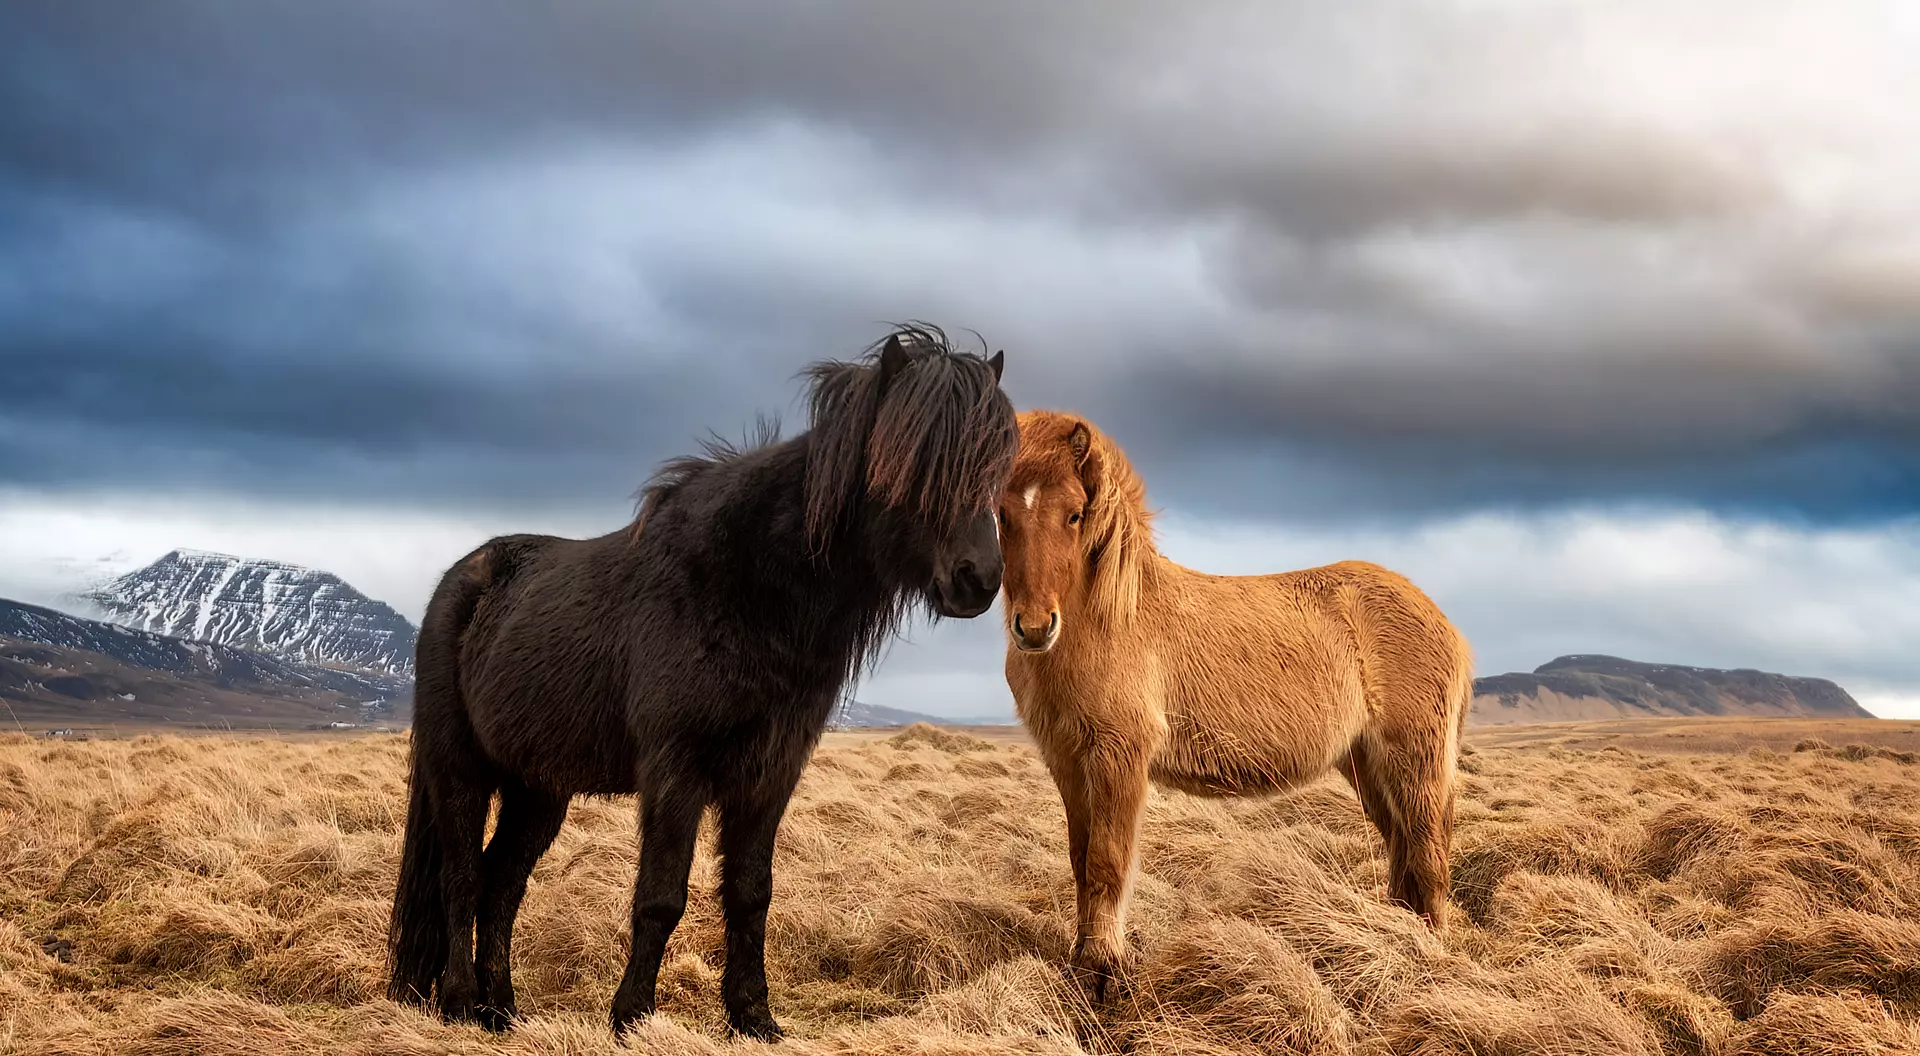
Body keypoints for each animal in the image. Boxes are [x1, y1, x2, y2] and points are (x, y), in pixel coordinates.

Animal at [386, 328, 1017, 1040]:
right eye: (912, 460)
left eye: (995, 466)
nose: (978, 580)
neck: (746, 589)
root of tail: (459, 581)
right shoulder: (676, 766)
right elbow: (661, 896)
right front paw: (632, 1016)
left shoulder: (770, 772)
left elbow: (750, 894)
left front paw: (754, 1016)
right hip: (460, 770)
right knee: (462, 878)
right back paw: (460, 1002)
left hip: (537, 787)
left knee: (501, 883)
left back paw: (503, 1011)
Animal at [995, 410, 1473, 996]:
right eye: (1001, 514)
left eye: (1074, 515)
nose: (1034, 628)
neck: (1109, 619)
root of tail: (1443, 622)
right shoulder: (1066, 761)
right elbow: (1081, 862)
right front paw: (1082, 965)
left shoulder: (1118, 757)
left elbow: (1107, 864)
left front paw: (1105, 975)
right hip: (1366, 765)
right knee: (1404, 855)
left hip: (1413, 763)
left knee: (1428, 858)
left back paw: (1430, 959)